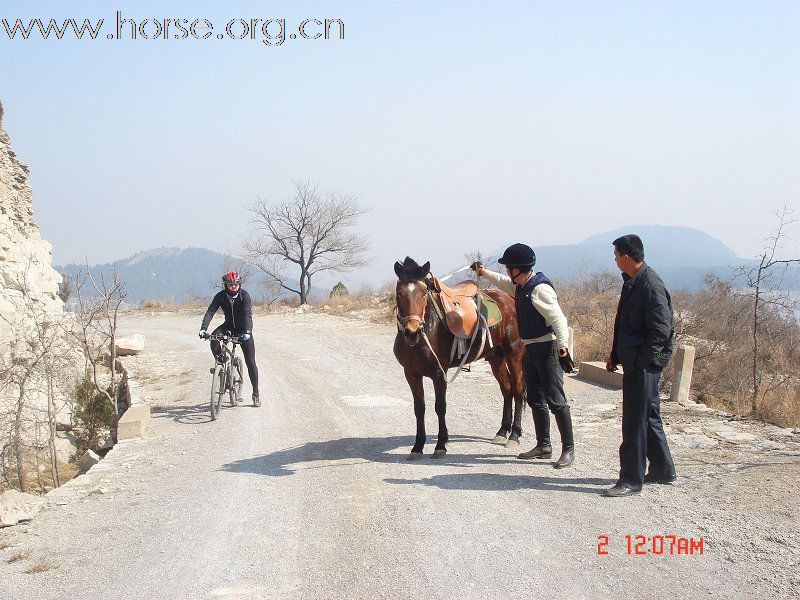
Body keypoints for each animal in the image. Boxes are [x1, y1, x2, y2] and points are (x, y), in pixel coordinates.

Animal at [392, 255, 528, 458]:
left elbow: (440, 407)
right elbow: (419, 408)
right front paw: (418, 446)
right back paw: (502, 431)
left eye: (423, 293)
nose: (412, 332)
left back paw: (514, 435)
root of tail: (509, 299)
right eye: (398, 292)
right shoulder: (411, 374)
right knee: (507, 391)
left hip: (514, 353)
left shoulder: (439, 374)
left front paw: (441, 444)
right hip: (496, 358)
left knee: (518, 390)